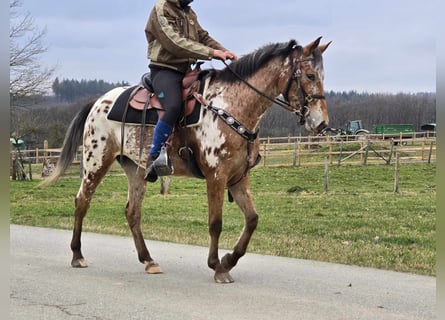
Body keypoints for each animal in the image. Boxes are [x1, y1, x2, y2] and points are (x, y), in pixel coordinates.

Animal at [44, 37, 330, 282]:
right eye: (310, 75)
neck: (230, 106)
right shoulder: (216, 177)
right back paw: (78, 255)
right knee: (82, 201)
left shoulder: (238, 178)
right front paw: (217, 266)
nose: (321, 123)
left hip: (135, 169)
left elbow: (252, 219)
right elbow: (215, 223)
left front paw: (229, 259)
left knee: (132, 212)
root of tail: (98, 101)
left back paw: (148, 260)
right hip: (96, 161)